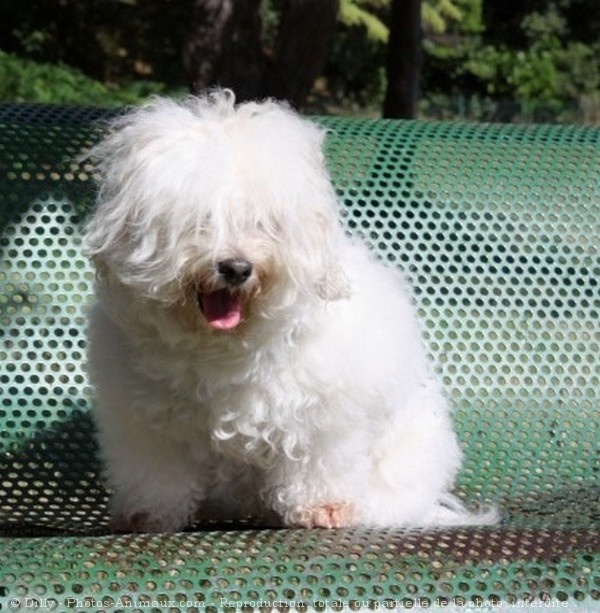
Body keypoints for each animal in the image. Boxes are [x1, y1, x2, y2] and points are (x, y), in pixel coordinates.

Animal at [85, 89, 496, 532]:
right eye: (200, 221)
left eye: (264, 223)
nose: (236, 268)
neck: (226, 347)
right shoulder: (145, 422)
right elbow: (156, 471)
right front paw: (148, 514)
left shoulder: (326, 415)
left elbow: (321, 459)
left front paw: (324, 508)